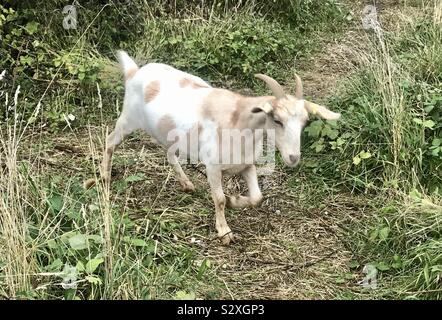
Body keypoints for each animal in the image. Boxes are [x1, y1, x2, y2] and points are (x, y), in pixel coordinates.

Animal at [84, 50, 340, 245]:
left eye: (305, 121)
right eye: (276, 120)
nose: (293, 157)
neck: (238, 122)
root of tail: (135, 72)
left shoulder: (247, 165)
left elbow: (257, 197)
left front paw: (236, 200)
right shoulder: (213, 167)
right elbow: (218, 199)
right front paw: (224, 231)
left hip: (170, 134)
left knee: (169, 153)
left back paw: (186, 184)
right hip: (128, 119)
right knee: (110, 141)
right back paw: (104, 176)